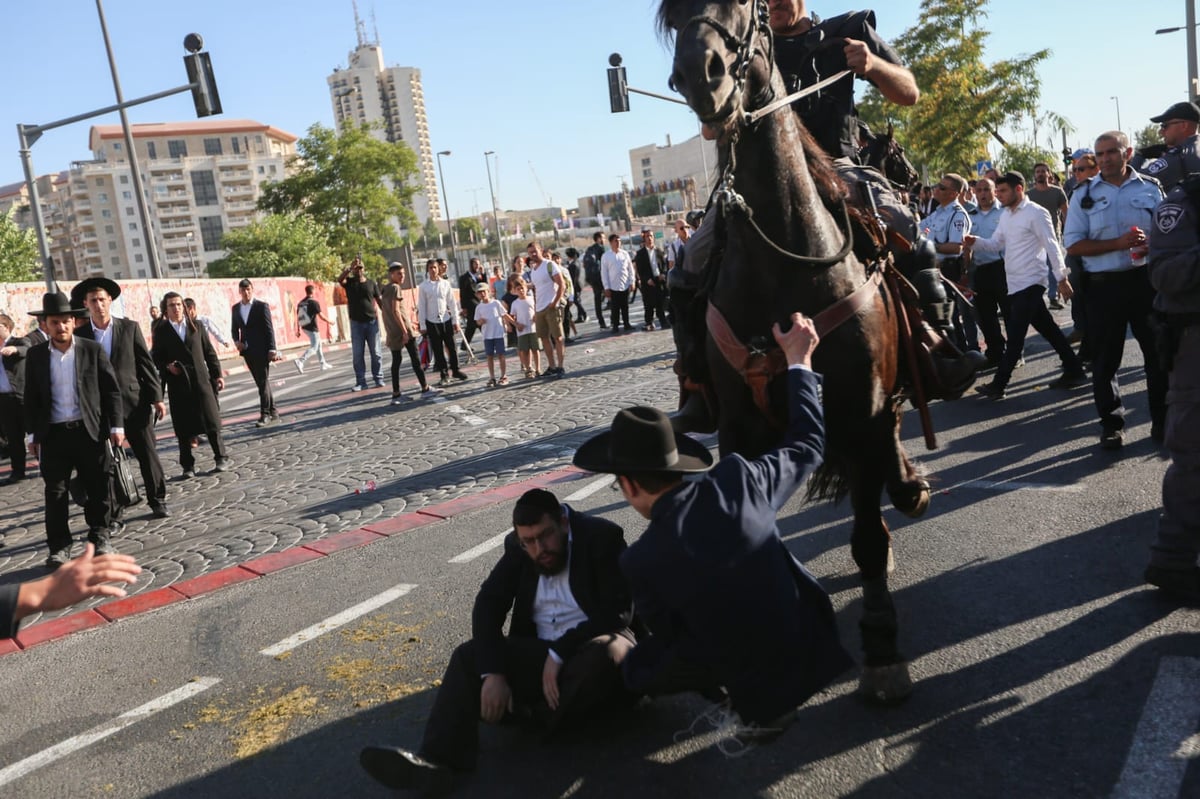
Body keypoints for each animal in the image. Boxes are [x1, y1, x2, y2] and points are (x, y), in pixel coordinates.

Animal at [662, 0, 921, 695]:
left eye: (744, 9)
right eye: (671, 16)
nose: (699, 74)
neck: (783, 259)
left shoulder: (860, 411)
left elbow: (866, 533)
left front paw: (881, 645)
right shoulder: (742, 429)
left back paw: (907, 484)